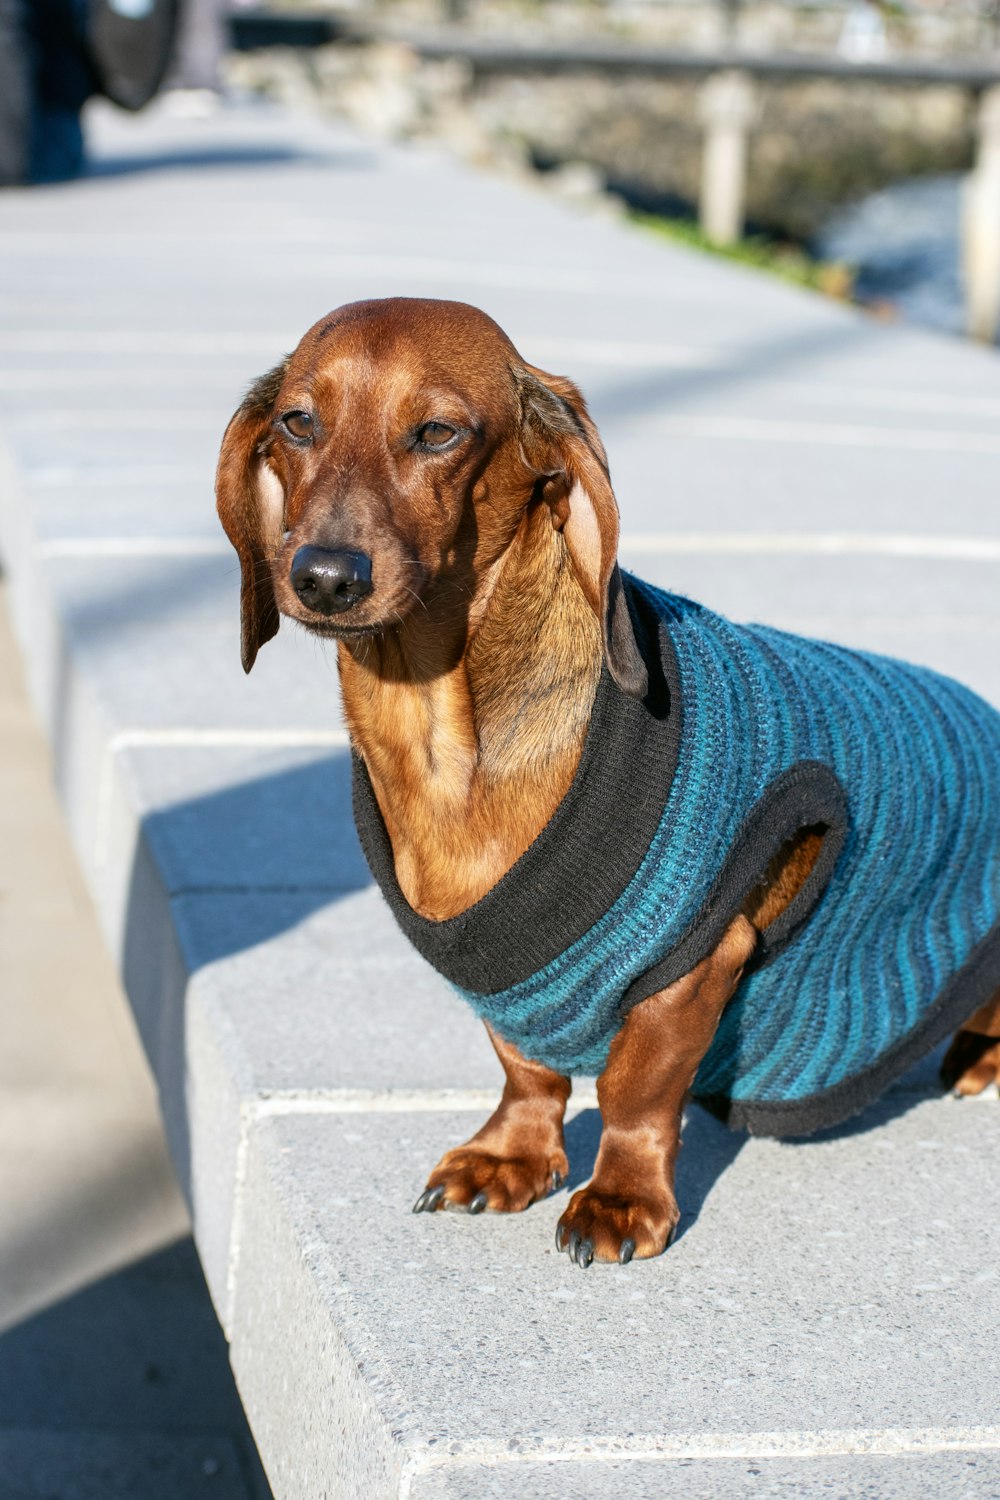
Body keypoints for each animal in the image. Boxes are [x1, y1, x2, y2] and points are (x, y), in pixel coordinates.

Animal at [218, 292, 1000, 1266]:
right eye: (297, 422)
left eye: (438, 433)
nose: (324, 576)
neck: (445, 738)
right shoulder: (506, 975)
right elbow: (525, 1065)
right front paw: (510, 1156)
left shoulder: (696, 963)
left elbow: (634, 1088)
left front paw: (622, 1197)